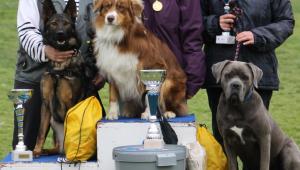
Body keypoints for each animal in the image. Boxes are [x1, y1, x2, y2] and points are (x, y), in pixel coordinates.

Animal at [32, 0, 95, 157]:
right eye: (54, 23)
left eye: (66, 23)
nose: (60, 34)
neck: (60, 68)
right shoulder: (46, 104)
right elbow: (41, 131)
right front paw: (36, 150)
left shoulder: (70, 104)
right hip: (53, 121)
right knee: (57, 147)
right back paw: (47, 151)